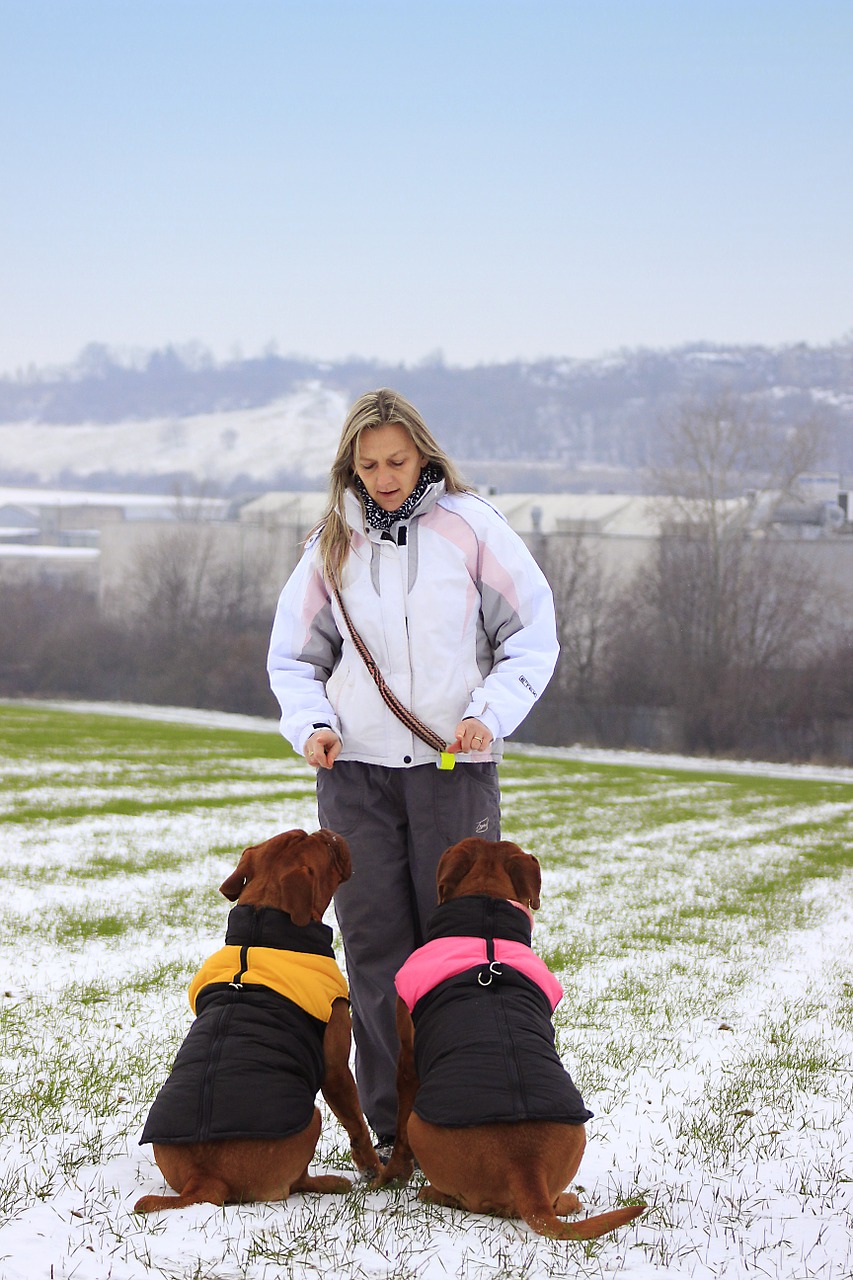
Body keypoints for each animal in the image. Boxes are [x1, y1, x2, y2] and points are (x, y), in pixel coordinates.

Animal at [133, 829, 379, 1208]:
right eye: (324, 847)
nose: (328, 832)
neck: (260, 927)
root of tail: (205, 1178)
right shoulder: (336, 1070)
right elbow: (357, 1124)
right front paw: (376, 1171)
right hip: (311, 1118)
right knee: (294, 1183)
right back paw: (331, 1182)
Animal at [376, 839, 640, 1239]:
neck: (486, 923)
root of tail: (525, 1166)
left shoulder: (408, 1060)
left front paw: (390, 1176)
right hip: (576, 1137)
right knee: (552, 1200)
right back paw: (569, 1201)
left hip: (420, 1126)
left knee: (471, 1201)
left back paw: (432, 1192)